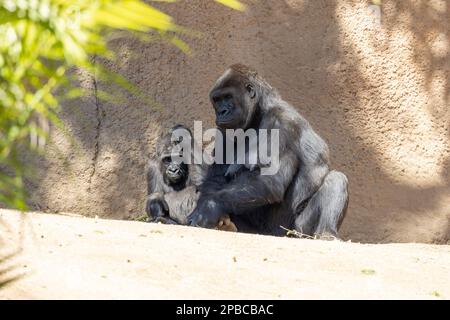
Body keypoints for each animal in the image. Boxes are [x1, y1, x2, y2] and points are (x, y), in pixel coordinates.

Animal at [188, 63, 350, 238]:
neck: (260, 111)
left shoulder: (281, 121)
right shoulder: (225, 130)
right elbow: (215, 179)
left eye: (228, 97)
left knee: (336, 179)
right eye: (217, 100)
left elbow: (271, 181)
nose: (221, 112)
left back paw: (327, 233)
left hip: (294, 231)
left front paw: (209, 207)